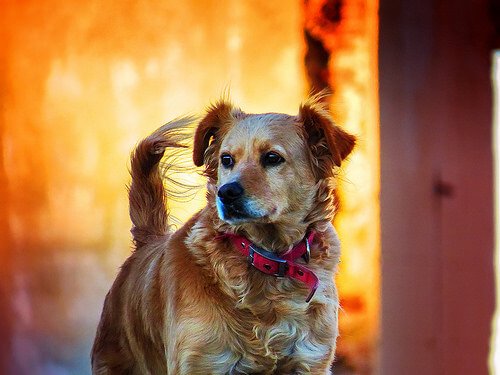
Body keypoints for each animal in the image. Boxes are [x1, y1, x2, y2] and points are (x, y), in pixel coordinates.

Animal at [90, 95, 356, 374]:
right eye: (227, 159)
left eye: (272, 157)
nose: (226, 193)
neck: (267, 258)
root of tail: (147, 242)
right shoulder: (201, 361)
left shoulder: (311, 360)